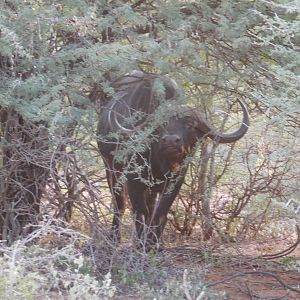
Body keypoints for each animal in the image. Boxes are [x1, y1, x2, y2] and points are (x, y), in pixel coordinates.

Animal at [97, 70, 250, 248]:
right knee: (119, 204)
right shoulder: (133, 179)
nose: (170, 141)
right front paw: (142, 244)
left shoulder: (175, 181)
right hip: (110, 169)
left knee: (149, 206)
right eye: (161, 124)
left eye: (190, 125)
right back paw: (115, 238)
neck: (160, 161)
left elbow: (161, 211)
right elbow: (139, 211)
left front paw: (155, 243)